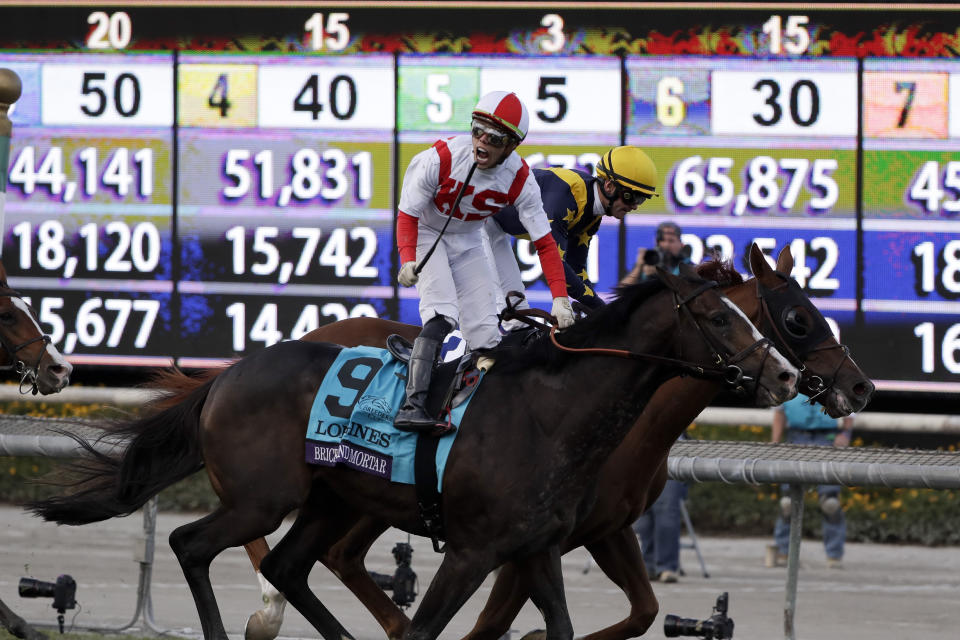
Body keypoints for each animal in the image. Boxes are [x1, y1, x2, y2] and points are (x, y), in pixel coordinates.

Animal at [30, 264, 796, 640]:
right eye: (718, 317)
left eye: (751, 314)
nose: (787, 375)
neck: (549, 413)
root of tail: (225, 376)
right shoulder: (472, 550)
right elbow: (428, 629)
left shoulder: (537, 548)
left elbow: (559, 627)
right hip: (262, 499)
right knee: (192, 545)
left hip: (328, 503)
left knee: (286, 564)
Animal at [236, 241, 872, 640]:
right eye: (797, 319)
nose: (860, 387)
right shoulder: (526, 540)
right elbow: (491, 623)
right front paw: (527, 632)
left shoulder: (602, 529)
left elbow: (643, 611)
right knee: (330, 552)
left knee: (333, 554)